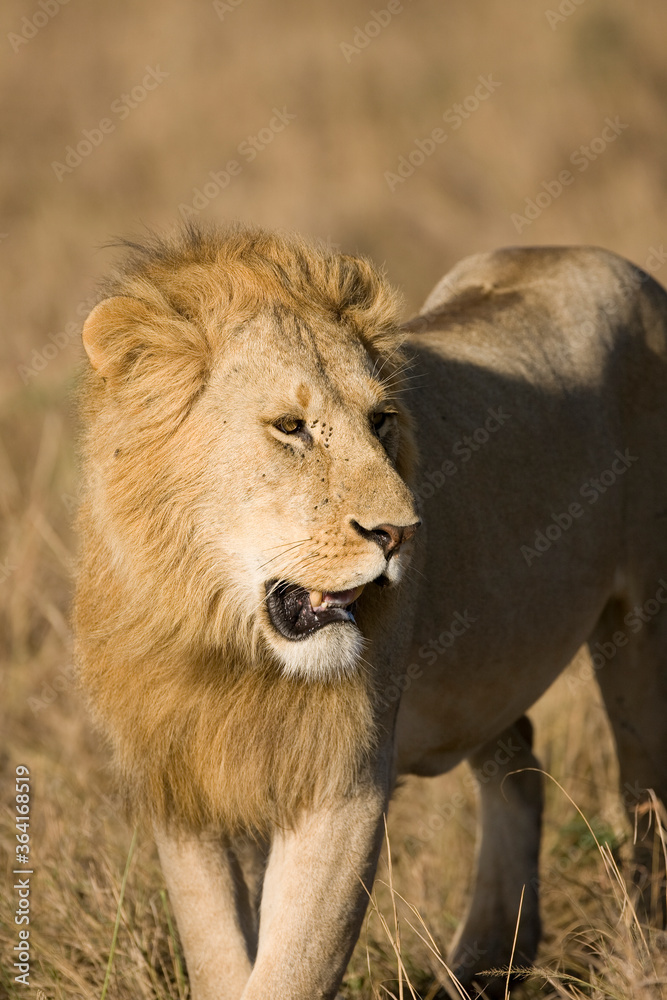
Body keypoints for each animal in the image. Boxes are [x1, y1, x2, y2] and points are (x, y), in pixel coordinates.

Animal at [75, 227, 667, 1000]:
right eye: (290, 427)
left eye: (381, 420)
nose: (400, 533)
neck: (224, 644)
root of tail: (578, 252)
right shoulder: (186, 780)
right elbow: (216, 955)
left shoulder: (343, 787)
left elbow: (290, 969)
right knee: (518, 763)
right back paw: (482, 962)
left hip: (642, 625)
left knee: (646, 793)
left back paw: (640, 959)